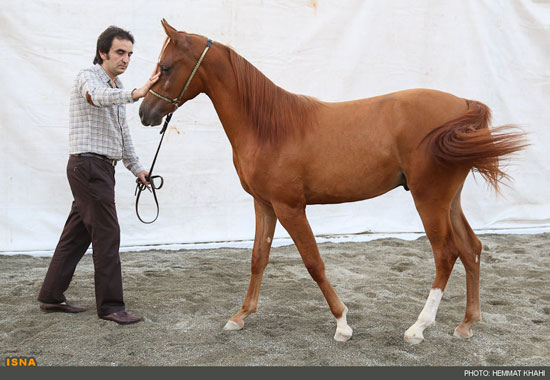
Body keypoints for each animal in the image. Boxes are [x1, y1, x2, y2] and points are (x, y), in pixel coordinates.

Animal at [140, 18, 528, 344]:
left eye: (166, 67)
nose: (144, 113)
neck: (268, 127)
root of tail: (463, 105)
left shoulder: (290, 207)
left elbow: (313, 262)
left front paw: (342, 323)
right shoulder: (264, 204)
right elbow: (258, 257)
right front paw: (240, 316)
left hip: (429, 199)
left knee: (446, 254)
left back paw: (418, 328)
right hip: (450, 200)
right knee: (471, 248)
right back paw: (466, 324)